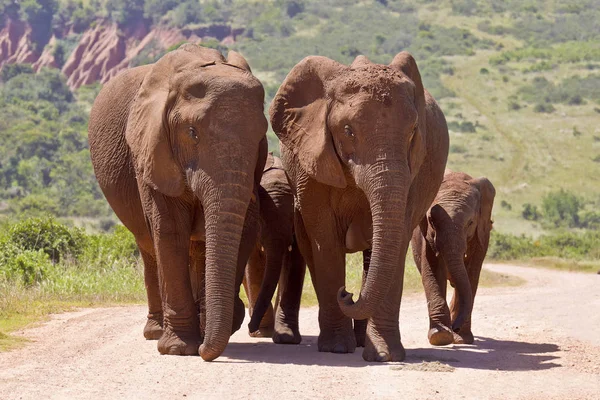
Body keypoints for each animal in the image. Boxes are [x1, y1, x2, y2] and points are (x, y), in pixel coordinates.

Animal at [88, 43, 268, 360]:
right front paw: (179, 349)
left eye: (262, 137)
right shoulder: (152, 150)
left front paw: (206, 332)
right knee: (149, 246)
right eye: (192, 133)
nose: (207, 353)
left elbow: (245, 228)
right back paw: (156, 332)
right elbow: (170, 230)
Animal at [243, 152, 304, 344]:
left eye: (293, 218)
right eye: (261, 219)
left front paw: (286, 338)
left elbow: (294, 262)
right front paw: (262, 333)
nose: (250, 327)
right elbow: (254, 262)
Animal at [412, 170, 496, 346]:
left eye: (470, 222)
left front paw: (462, 339)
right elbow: (432, 270)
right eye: (431, 221)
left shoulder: (482, 232)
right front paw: (440, 337)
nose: (454, 327)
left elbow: (471, 273)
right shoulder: (426, 234)